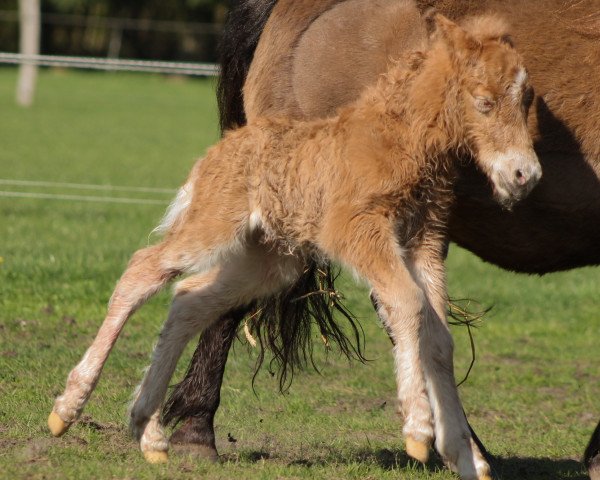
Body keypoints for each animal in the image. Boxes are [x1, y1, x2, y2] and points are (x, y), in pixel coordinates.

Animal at [49, 15, 540, 480]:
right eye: (484, 101)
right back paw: (68, 410)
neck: (399, 139)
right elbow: (407, 304)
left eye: (526, 99)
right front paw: (418, 430)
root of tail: (219, 150)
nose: (525, 175)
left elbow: (439, 338)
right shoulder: (357, 230)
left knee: (189, 299)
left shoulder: (424, 244)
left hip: (269, 260)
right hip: (213, 227)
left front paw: (465, 457)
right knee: (142, 270)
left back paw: (148, 431)